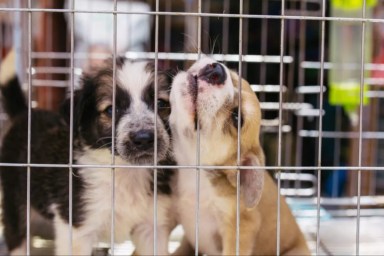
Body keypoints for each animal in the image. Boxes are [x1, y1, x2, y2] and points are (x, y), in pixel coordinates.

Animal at [0, 50, 176, 256]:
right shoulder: (76, 227)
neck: (125, 171)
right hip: (15, 204)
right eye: (111, 109)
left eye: (161, 103)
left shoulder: (151, 227)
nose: (144, 138)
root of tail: (24, 113)